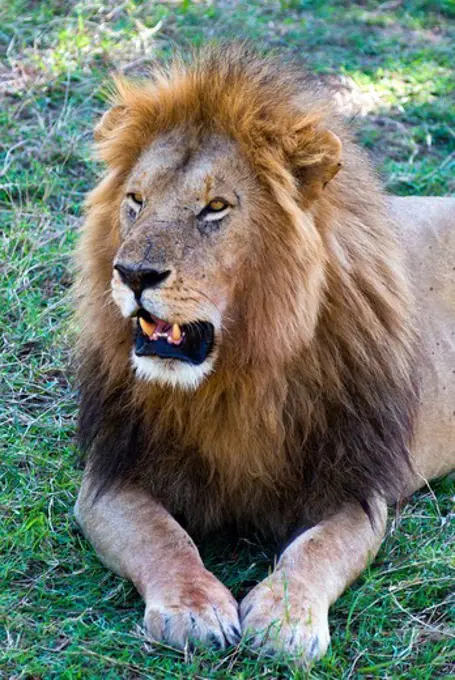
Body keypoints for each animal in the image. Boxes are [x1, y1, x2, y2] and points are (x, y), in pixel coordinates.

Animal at [73, 45, 454, 660]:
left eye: (215, 207)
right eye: (135, 200)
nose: (131, 273)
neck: (235, 374)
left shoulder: (356, 485)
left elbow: (318, 548)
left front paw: (284, 621)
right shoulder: (111, 474)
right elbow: (162, 536)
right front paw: (194, 608)